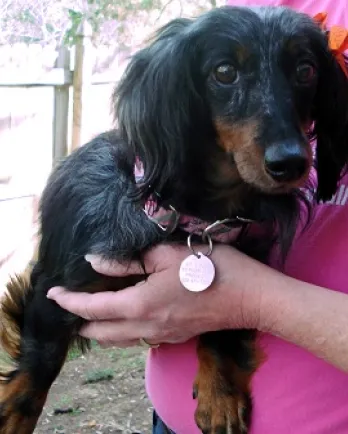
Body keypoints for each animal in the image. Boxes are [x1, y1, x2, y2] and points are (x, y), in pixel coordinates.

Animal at [0, 6, 348, 434]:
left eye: (305, 69)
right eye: (224, 71)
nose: (291, 163)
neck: (187, 213)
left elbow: (223, 326)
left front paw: (220, 394)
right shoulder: (52, 284)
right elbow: (40, 361)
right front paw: (12, 416)